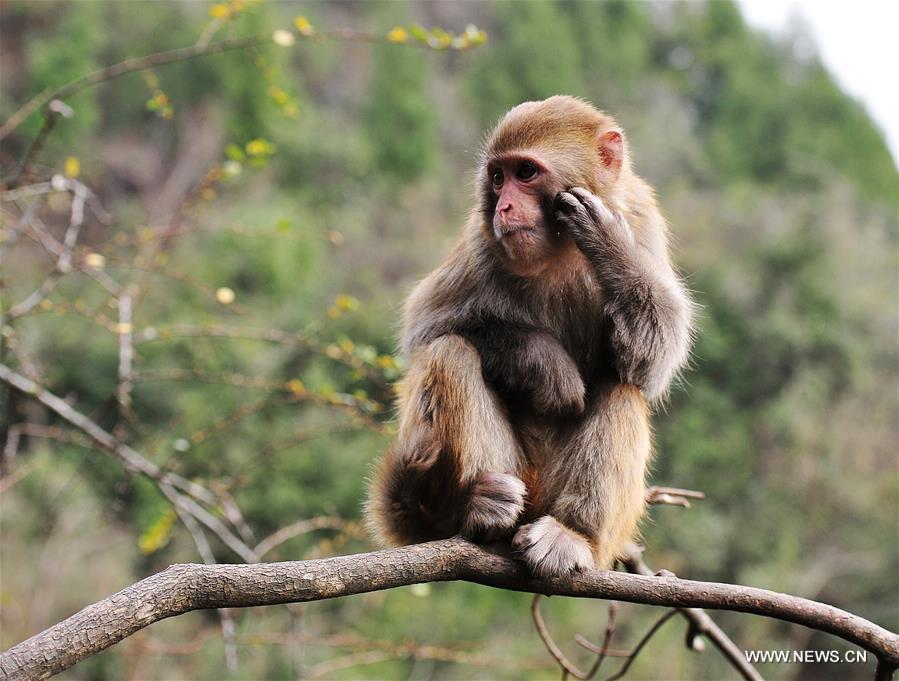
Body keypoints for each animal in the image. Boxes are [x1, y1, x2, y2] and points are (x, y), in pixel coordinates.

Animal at [366, 94, 696, 572]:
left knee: (622, 386)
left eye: (525, 173)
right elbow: (425, 327)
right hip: (517, 474)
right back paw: (476, 511)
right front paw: (545, 364)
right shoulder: (482, 240)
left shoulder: (641, 216)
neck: (559, 247)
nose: (504, 207)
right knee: (450, 352)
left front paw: (608, 242)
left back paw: (573, 534)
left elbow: (652, 358)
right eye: (497, 178)